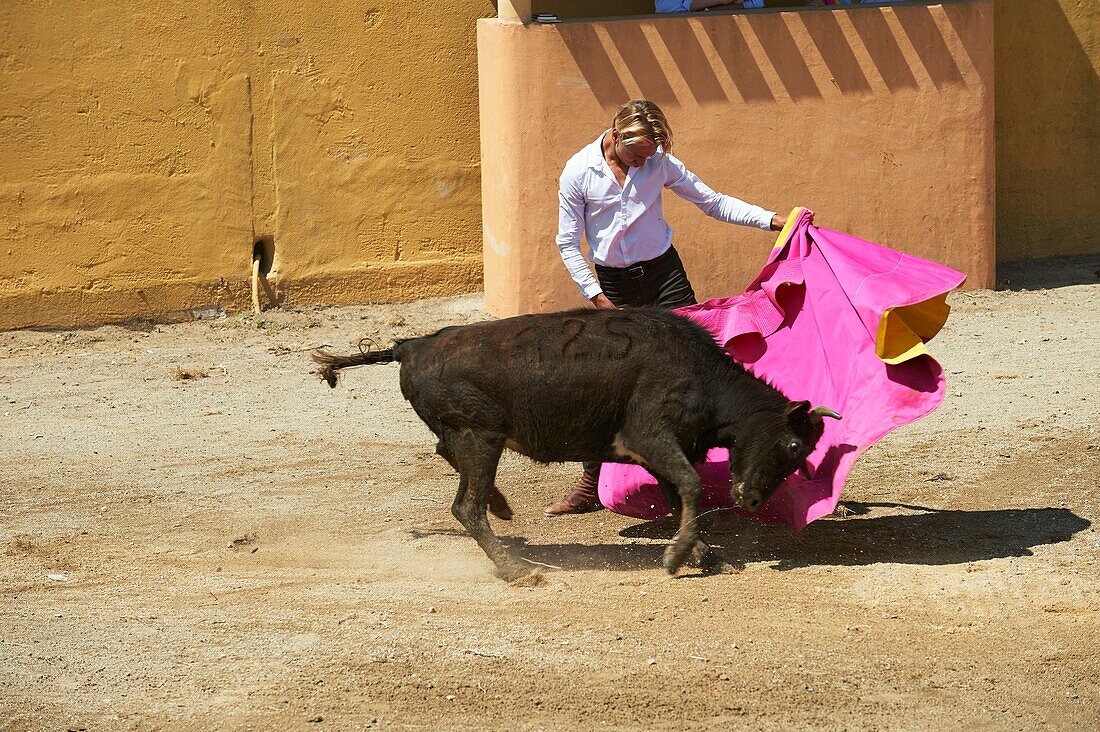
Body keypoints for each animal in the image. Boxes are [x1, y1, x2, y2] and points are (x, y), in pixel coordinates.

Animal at [314, 306, 836, 581]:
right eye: (794, 447)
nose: (751, 499)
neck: (702, 376)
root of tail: (412, 344)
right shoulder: (649, 436)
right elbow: (689, 488)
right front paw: (676, 557)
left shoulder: (665, 452)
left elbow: (679, 498)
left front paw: (703, 554)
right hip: (480, 435)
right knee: (465, 506)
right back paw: (515, 569)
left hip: (470, 436)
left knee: (451, 464)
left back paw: (502, 509)